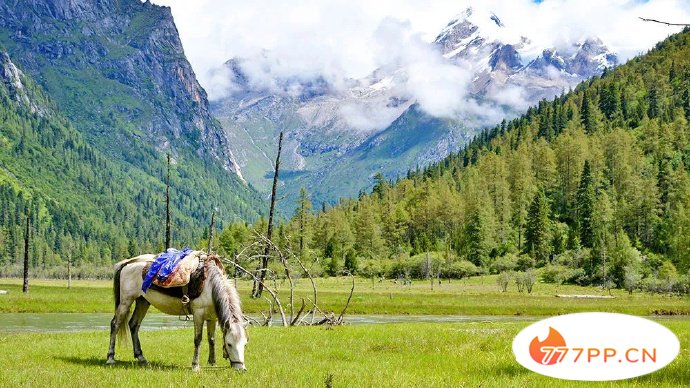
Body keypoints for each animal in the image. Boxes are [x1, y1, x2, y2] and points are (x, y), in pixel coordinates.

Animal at [105, 255, 247, 370]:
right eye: (229, 344)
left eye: (245, 343)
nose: (241, 368)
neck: (209, 285)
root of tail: (127, 263)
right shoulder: (198, 314)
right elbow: (198, 339)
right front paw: (195, 365)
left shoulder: (212, 317)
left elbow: (211, 339)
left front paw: (212, 362)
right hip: (126, 301)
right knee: (115, 324)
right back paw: (110, 358)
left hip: (142, 302)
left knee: (134, 325)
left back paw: (141, 357)